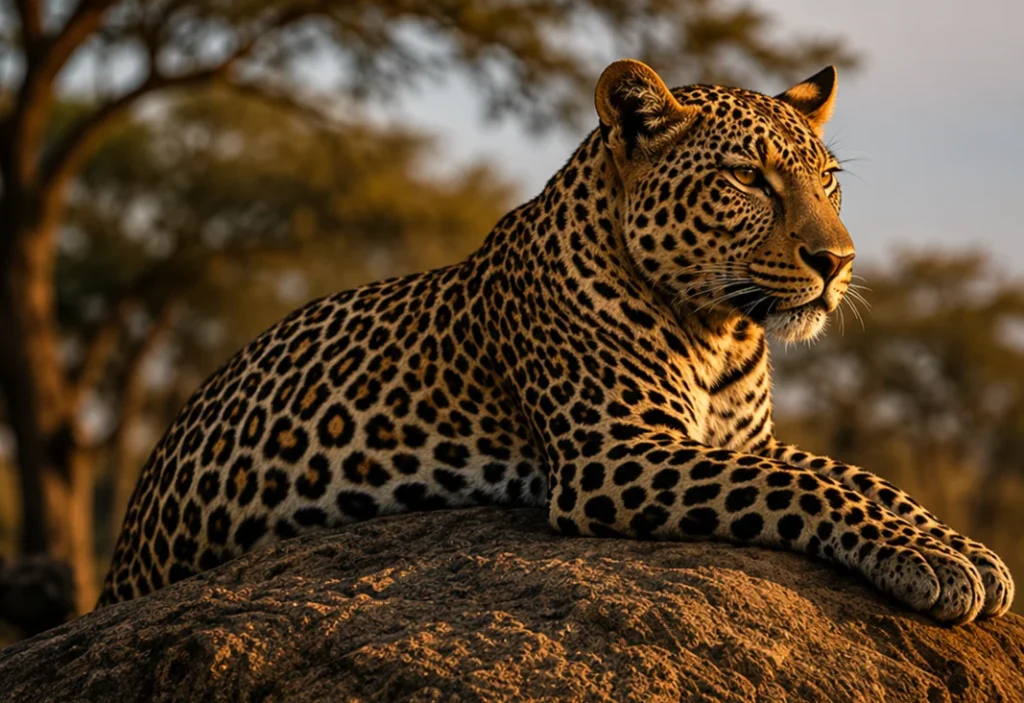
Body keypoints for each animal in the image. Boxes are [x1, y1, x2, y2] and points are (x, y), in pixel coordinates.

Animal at [98, 59, 1015, 624]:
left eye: (828, 180)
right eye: (748, 179)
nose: (839, 261)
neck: (723, 330)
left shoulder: (741, 440)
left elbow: (855, 473)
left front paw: (966, 551)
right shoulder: (617, 453)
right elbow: (809, 487)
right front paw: (927, 559)